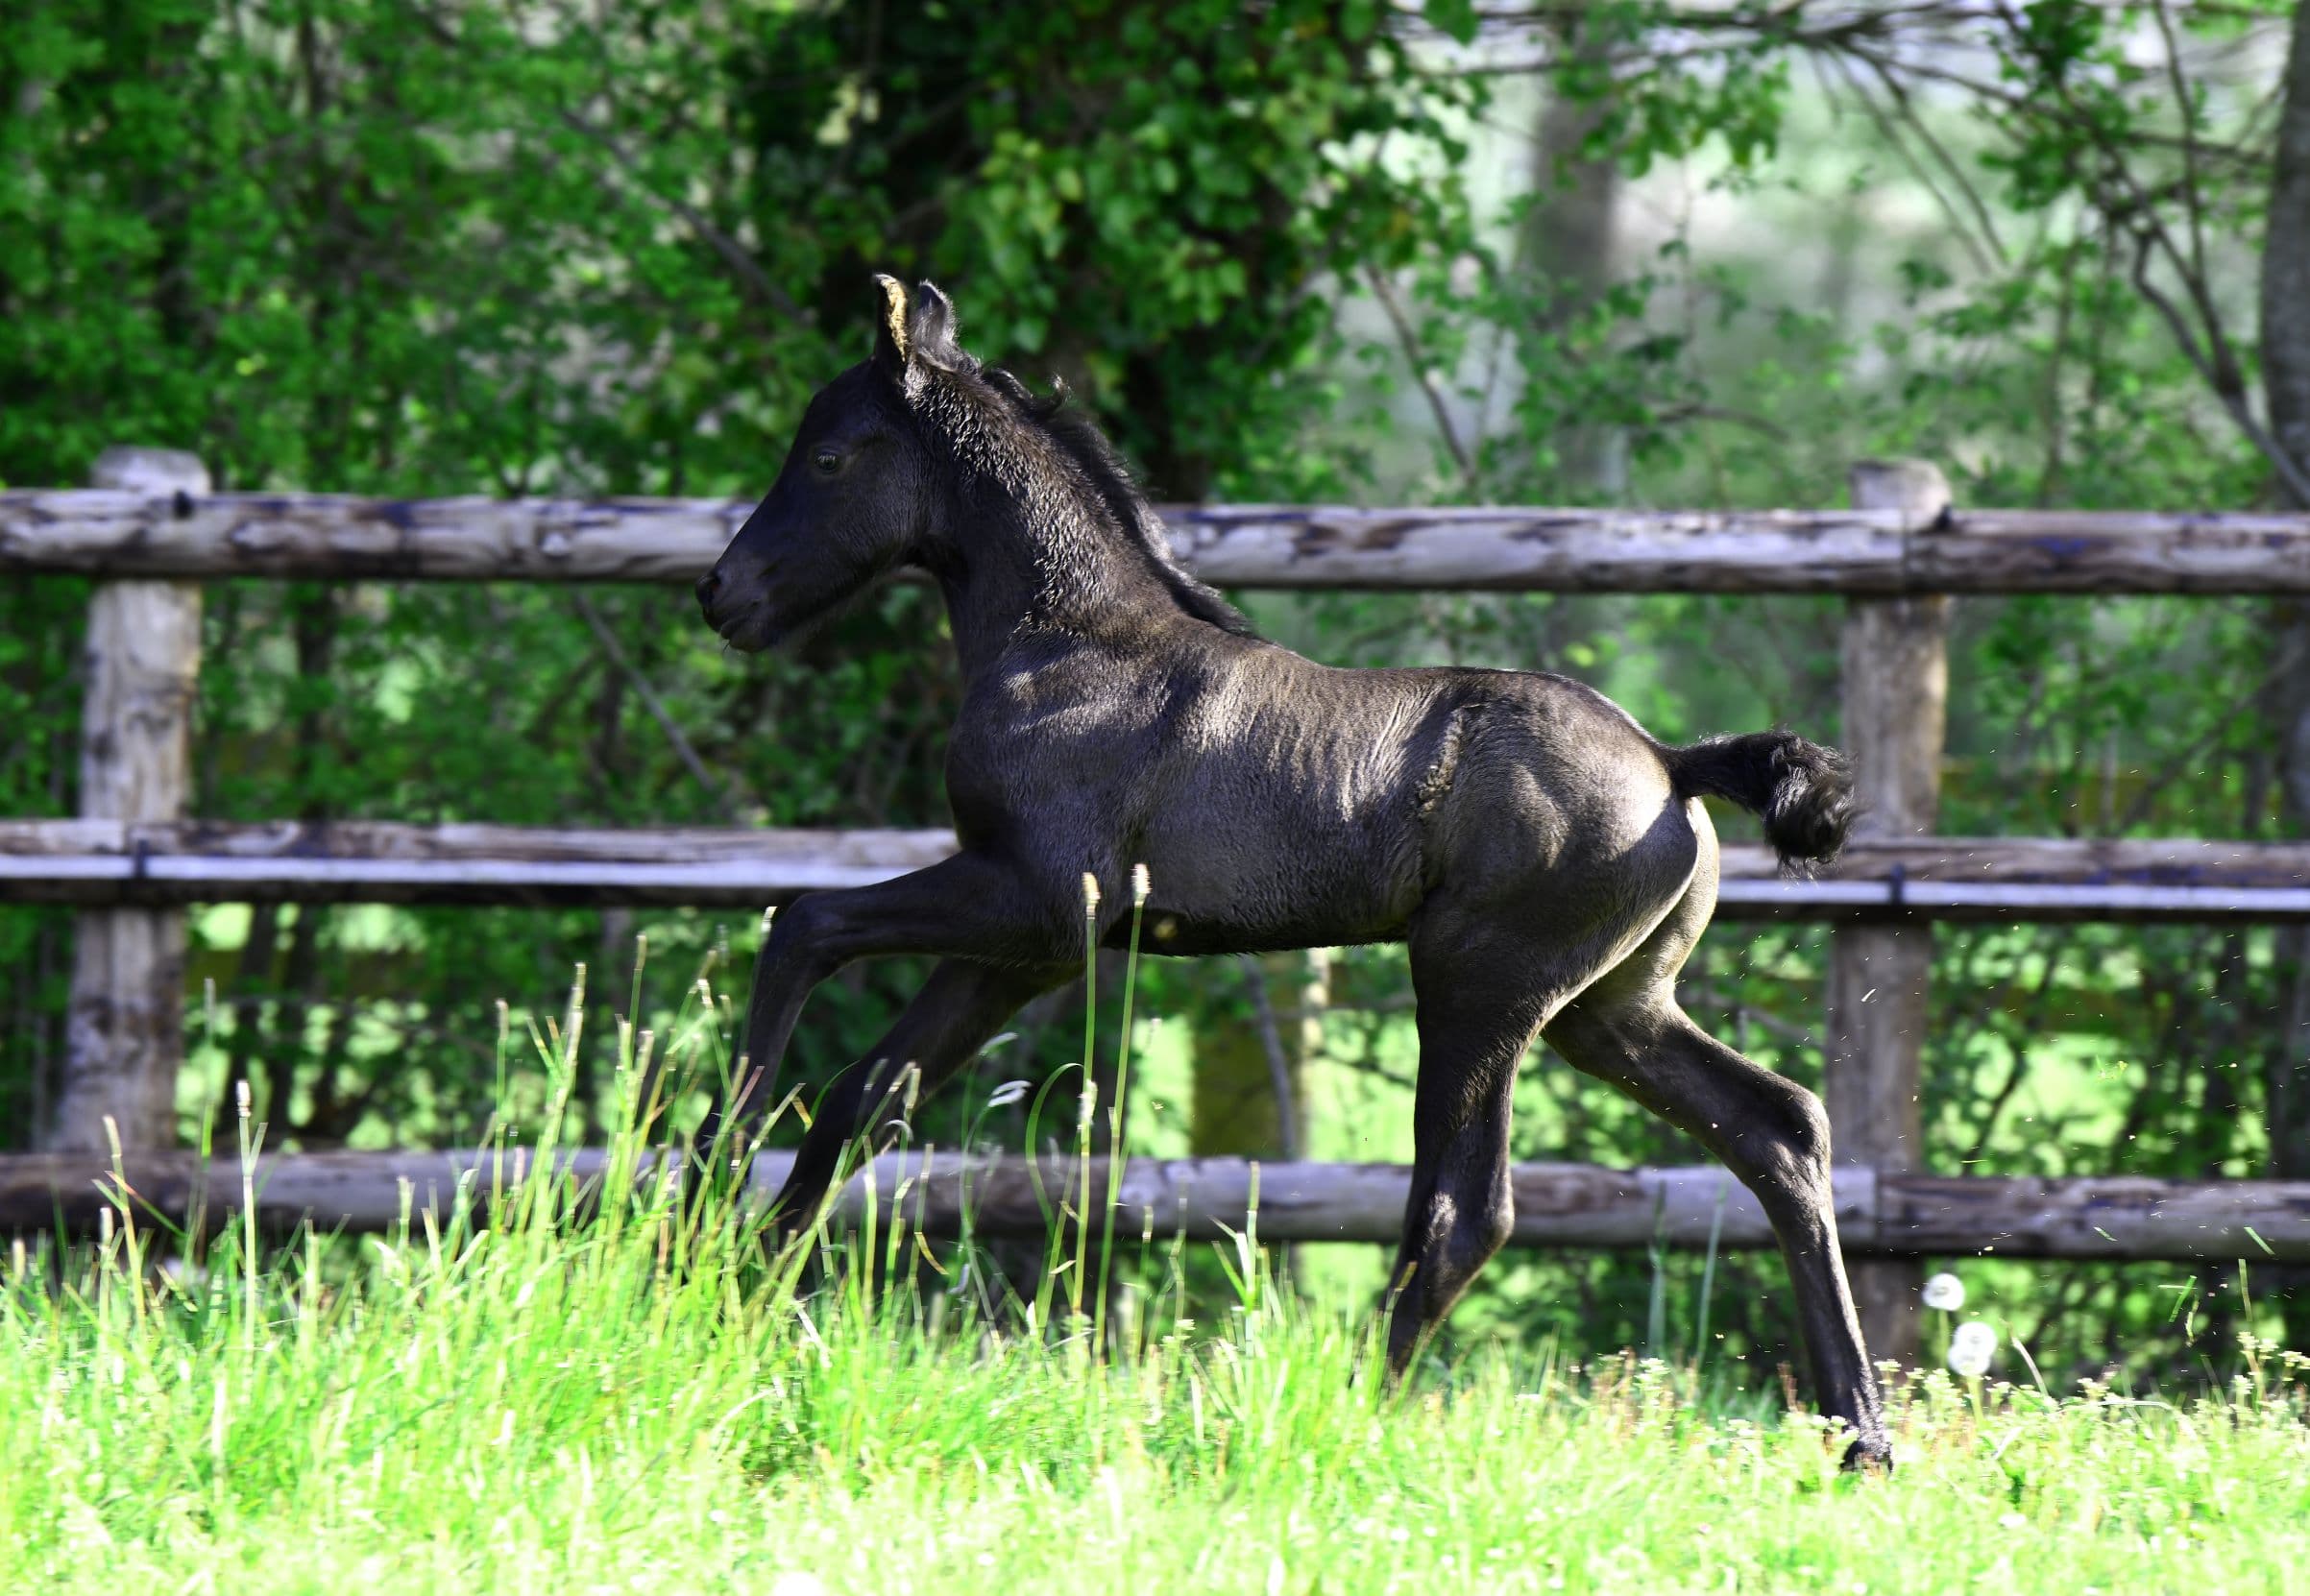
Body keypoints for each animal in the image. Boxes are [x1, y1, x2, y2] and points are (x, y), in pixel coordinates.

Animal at [695, 276, 1888, 1469]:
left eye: (829, 456)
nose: (719, 595)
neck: (1068, 642)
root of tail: (1669, 763)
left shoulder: (1031, 902)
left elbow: (802, 922)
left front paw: (709, 1174)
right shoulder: (1029, 949)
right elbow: (864, 1097)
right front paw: (736, 1293)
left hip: (1478, 988)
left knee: (1465, 1213)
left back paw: (1342, 1420)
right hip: (1610, 1008)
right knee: (1777, 1129)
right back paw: (1859, 1436)